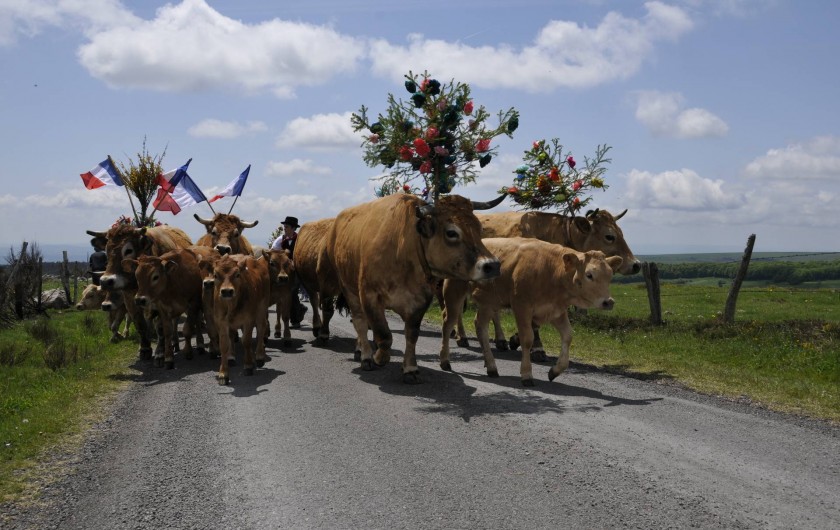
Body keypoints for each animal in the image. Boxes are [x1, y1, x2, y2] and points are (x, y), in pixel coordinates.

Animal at [86, 224, 193, 359]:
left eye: (128, 250)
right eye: (106, 250)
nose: (106, 282)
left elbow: (160, 326)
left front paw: (160, 351)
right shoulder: (129, 299)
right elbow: (140, 324)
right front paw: (144, 348)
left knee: (173, 321)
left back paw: (174, 342)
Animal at [208, 253, 271, 384]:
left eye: (237, 274)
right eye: (216, 275)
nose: (227, 291)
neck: (232, 305)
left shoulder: (248, 320)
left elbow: (246, 341)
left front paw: (248, 366)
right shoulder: (221, 322)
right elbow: (224, 345)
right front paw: (223, 373)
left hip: (262, 308)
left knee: (261, 328)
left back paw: (259, 357)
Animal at [320, 193, 505, 384]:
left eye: (479, 228)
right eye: (451, 232)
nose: (492, 265)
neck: (403, 247)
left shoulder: (421, 300)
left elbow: (412, 334)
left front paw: (410, 368)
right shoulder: (369, 296)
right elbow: (384, 335)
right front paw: (379, 357)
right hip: (348, 289)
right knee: (360, 323)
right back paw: (365, 356)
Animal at [440, 237, 622, 386]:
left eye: (610, 275)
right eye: (589, 275)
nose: (609, 302)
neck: (551, 269)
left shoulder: (556, 311)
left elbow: (568, 336)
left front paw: (555, 371)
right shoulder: (522, 307)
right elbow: (527, 339)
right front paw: (527, 375)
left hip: (488, 303)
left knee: (480, 327)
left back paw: (491, 366)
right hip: (454, 292)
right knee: (448, 323)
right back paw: (445, 361)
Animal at [454, 208, 640, 355]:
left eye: (622, 233)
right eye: (609, 236)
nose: (636, 264)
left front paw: (516, 339)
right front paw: (537, 348)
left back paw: (500, 340)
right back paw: (461, 336)